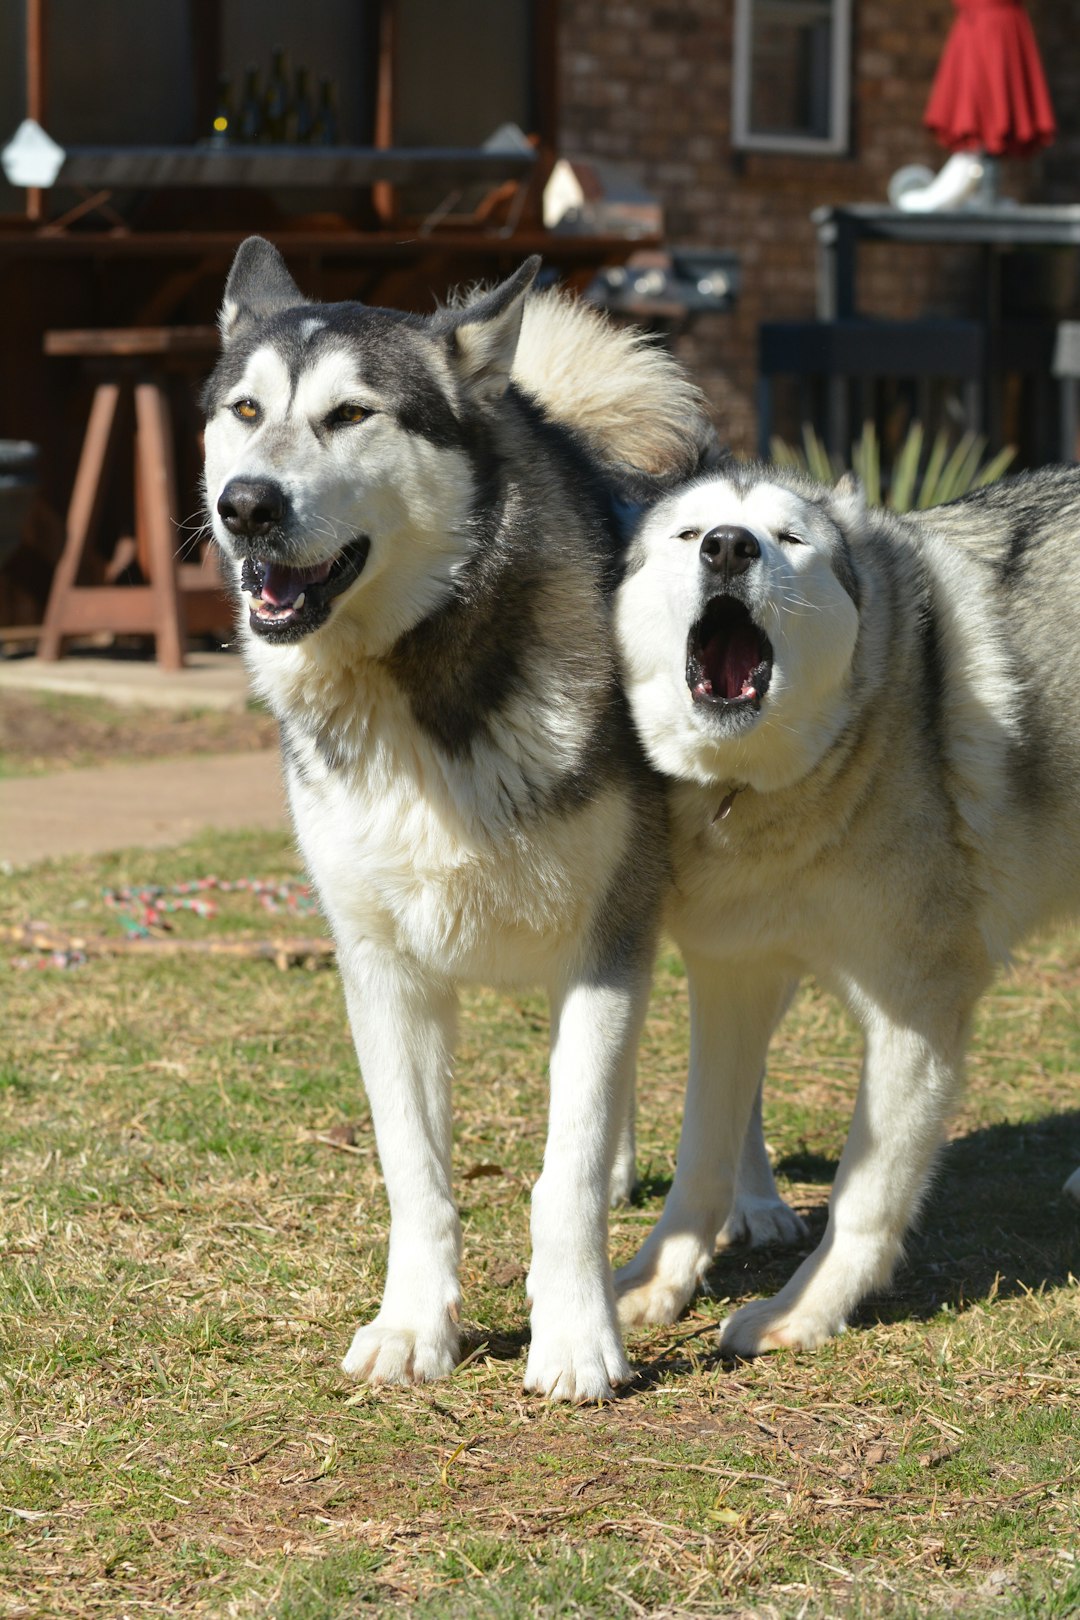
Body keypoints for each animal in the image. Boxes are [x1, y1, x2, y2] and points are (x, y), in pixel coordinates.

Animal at [201, 234, 709, 1399]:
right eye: (246, 411)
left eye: (351, 414)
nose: (245, 506)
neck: (414, 687)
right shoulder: (384, 969)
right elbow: (416, 1175)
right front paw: (411, 1329)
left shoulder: (606, 945)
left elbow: (563, 1171)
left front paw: (576, 1340)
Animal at [612, 460, 1080, 1354]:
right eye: (689, 534)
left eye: (789, 539)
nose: (729, 547)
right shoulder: (731, 979)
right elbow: (702, 1160)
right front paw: (653, 1286)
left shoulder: (919, 1012)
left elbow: (863, 1200)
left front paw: (800, 1314)